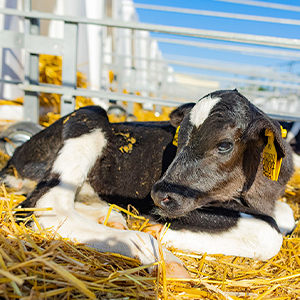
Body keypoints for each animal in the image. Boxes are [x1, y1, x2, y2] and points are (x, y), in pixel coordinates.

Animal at [0, 89, 296, 276]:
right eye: (179, 138)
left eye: (224, 145)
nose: (159, 194)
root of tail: (15, 157)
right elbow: (269, 233)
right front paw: (156, 228)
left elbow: (286, 215)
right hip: (89, 116)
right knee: (47, 205)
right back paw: (154, 253)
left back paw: (111, 218)